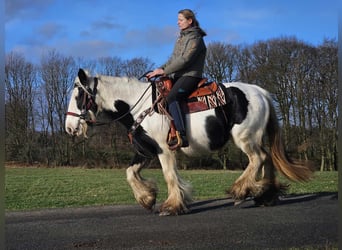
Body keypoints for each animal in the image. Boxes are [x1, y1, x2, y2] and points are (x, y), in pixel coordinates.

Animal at [64, 68, 312, 215]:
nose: (69, 128)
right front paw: (147, 198)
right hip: (256, 137)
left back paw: (239, 190)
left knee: (258, 159)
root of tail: (261, 92)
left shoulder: (164, 150)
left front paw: (172, 205)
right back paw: (265, 196)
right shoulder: (146, 150)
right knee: (267, 159)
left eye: (78, 96)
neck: (138, 105)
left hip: (246, 138)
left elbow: (170, 176)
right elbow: (130, 173)